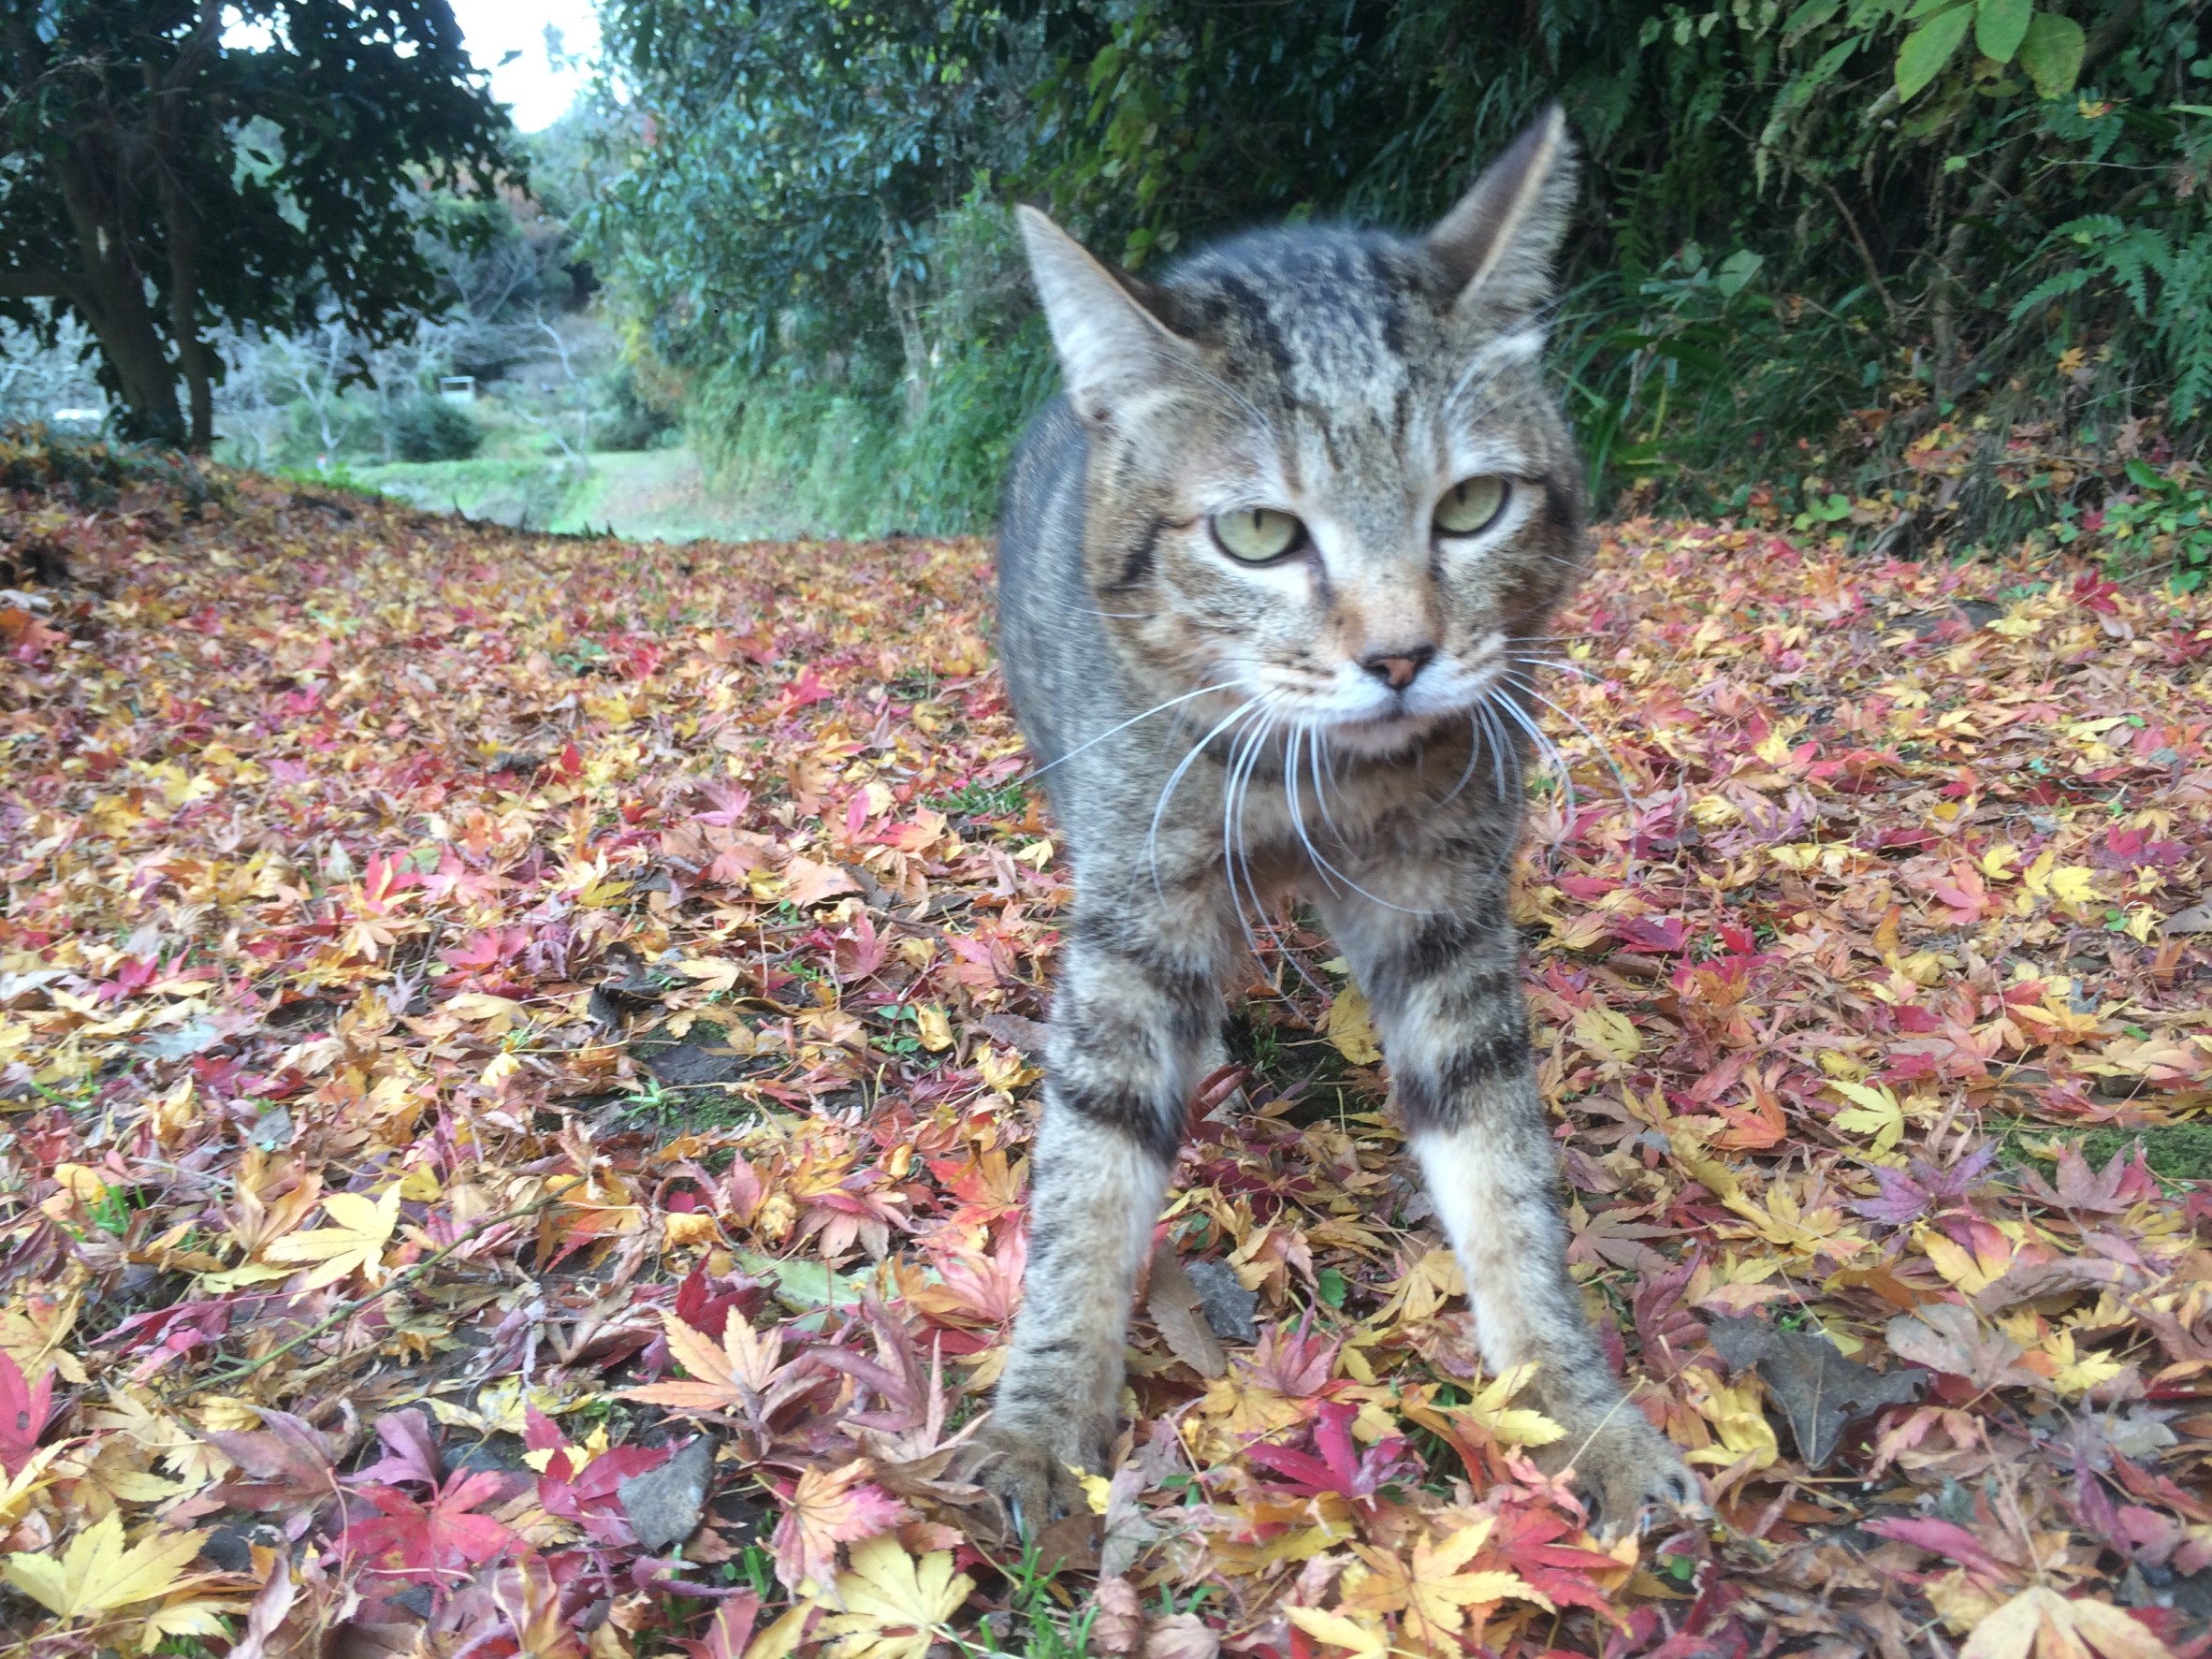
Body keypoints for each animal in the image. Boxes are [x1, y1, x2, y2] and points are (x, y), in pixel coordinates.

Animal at [973, 104, 1690, 1539]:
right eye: (1257, 531)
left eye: (1471, 506)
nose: (1402, 655)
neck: (1321, 787)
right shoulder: (1138, 909)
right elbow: (1088, 1173)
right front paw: (1044, 1417)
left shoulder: (1445, 907)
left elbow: (1504, 1180)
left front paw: (1580, 1413)